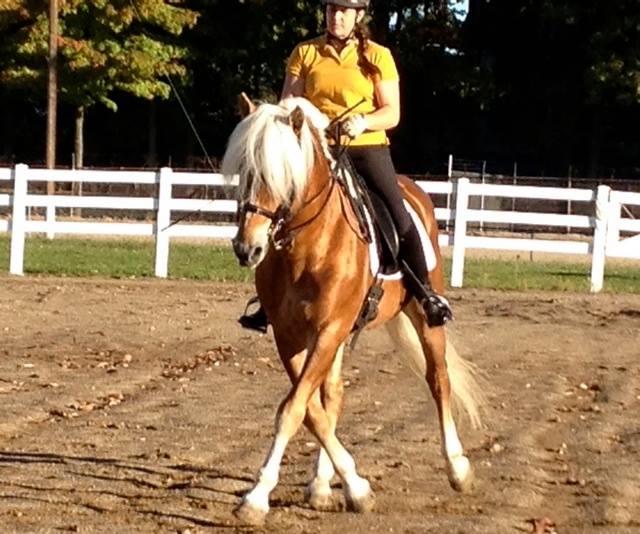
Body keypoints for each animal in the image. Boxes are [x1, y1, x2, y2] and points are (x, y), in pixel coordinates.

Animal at [222, 96, 482, 528]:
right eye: (244, 170)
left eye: (283, 175)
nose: (247, 248)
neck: (309, 244)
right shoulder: (292, 337)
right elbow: (310, 410)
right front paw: (351, 486)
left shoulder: (329, 330)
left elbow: (292, 409)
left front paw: (256, 497)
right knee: (333, 394)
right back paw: (322, 485)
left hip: (422, 315)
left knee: (438, 379)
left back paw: (458, 467)